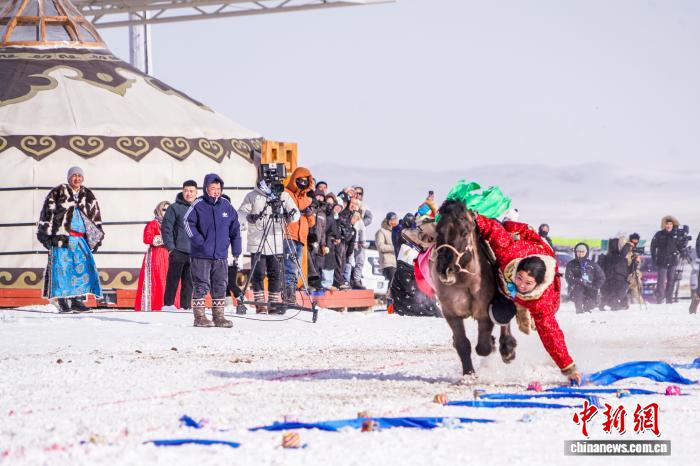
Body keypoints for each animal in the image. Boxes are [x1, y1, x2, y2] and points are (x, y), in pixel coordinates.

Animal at [431, 199, 518, 376]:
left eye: (464, 232)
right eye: (437, 232)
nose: (444, 269)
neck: (465, 281)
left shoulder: (484, 312)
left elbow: (483, 347)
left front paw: (493, 344)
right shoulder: (450, 313)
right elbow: (462, 344)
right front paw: (468, 373)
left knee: (504, 319)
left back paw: (507, 349)